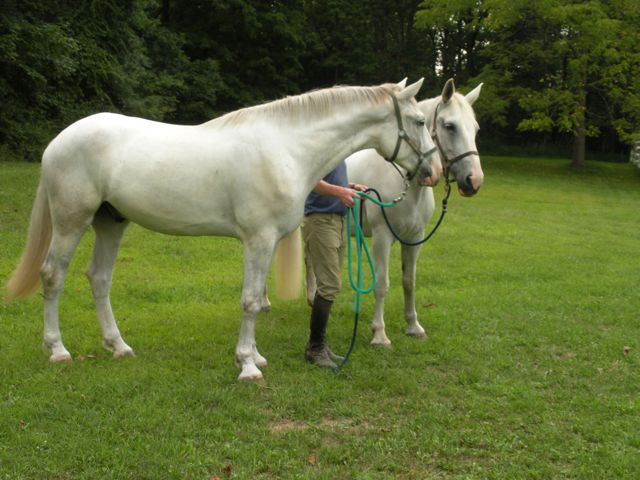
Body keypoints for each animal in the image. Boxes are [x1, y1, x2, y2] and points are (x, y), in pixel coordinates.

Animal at [6, 78, 444, 378]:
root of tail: (58, 141)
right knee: (52, 276)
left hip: (110, 222)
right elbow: (250, 301)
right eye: (420, 120)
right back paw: (58, 349)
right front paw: (247, 366)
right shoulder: (258, 239)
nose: (434, 171)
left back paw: (118, 346)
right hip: (72, 221)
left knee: (98, 279)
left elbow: (256, 298)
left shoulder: (267, 242)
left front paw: (255, 356)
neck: (287, 148)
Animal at [304, 78, 480, 344]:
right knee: (307, 259)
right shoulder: (382, 237)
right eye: (450, 126)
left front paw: (413, 326)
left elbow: (409, 281)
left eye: (476, 129)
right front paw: (379, 334)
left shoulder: (415, 238)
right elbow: (382, 284)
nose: (474, 180)